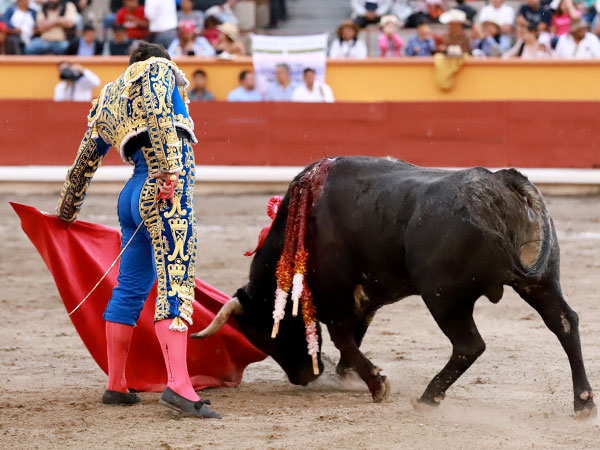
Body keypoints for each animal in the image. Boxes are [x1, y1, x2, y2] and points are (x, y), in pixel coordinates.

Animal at [196, 157, 596, 414]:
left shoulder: (337, 298)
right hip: (541, 281)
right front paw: (349, 377)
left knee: (469, 345)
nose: (304, 378)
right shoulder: (364, 299)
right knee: (564, 323)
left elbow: (344, 338)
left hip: (443, 297)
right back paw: (583, 402)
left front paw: (376, 384)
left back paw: (428, 398)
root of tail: (500, 183)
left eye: (266, 335)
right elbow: (354, 338)